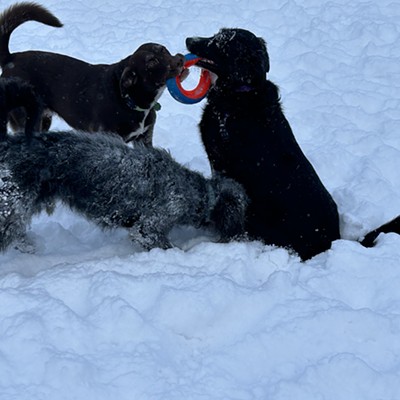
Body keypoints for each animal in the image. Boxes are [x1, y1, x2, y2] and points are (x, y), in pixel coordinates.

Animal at [0, 1, 184, 145]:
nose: (180, 60)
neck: (130, 99)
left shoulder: (144, 139)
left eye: (164, 49)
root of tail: (11, 58)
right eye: (151, 61)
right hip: (26, 118)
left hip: (43, 119)